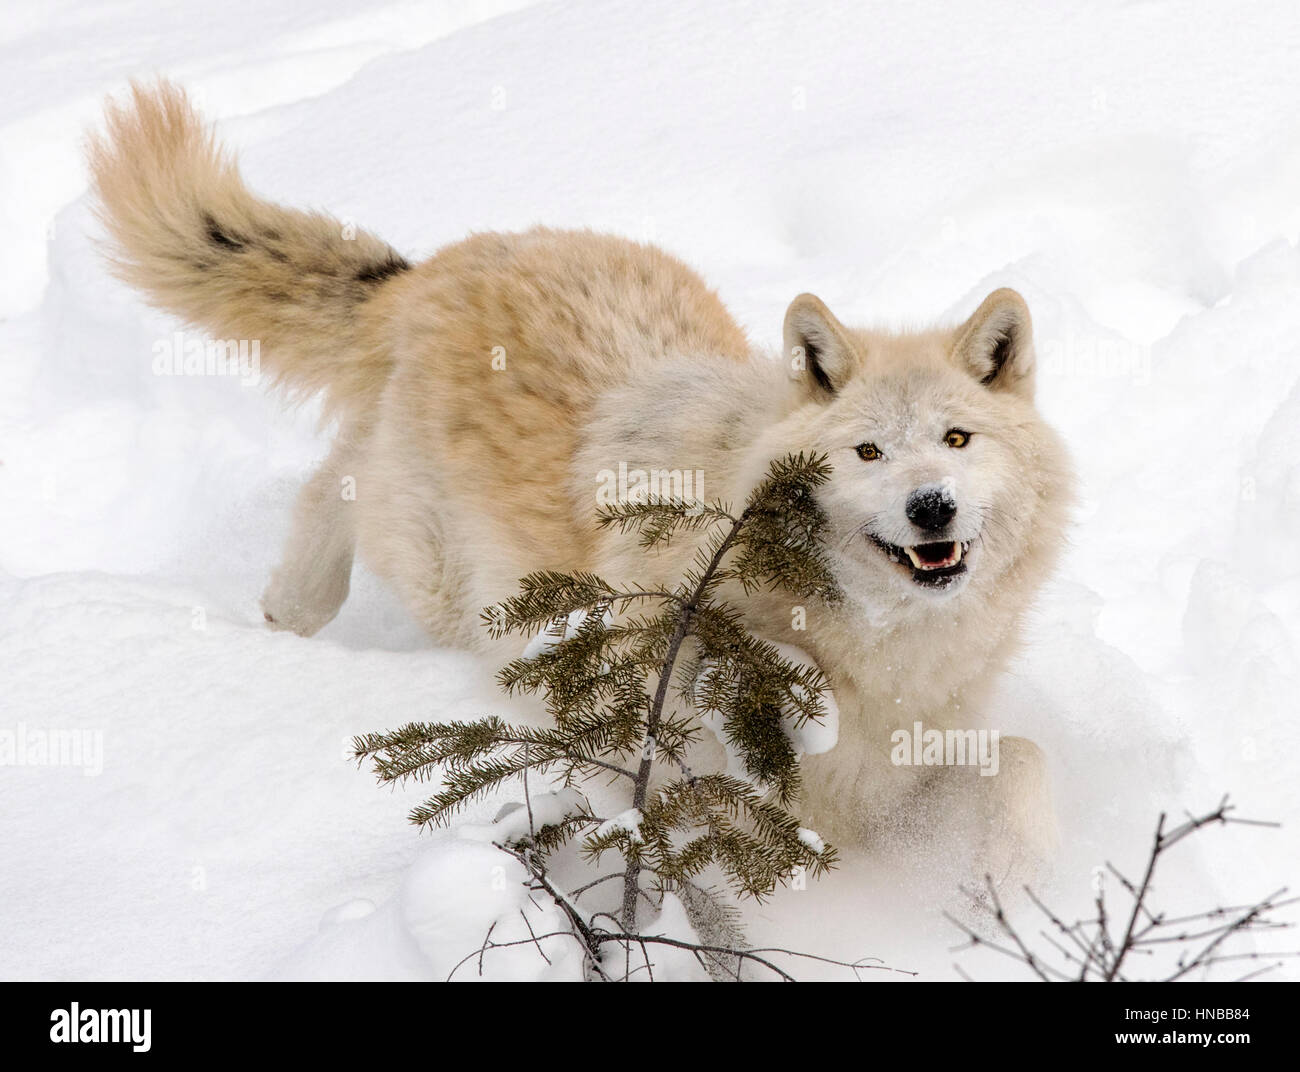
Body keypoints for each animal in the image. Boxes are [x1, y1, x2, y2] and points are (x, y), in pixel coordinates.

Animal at [88, 82, 1073, 884]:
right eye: (867, 453)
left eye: (956, 439)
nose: (930, 506)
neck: (881, 645)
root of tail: (450, 261)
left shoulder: (890, 781)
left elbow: (1024, 759)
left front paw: (1017, 881)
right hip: (439, 569)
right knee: (340, 480)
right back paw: (292, 608)